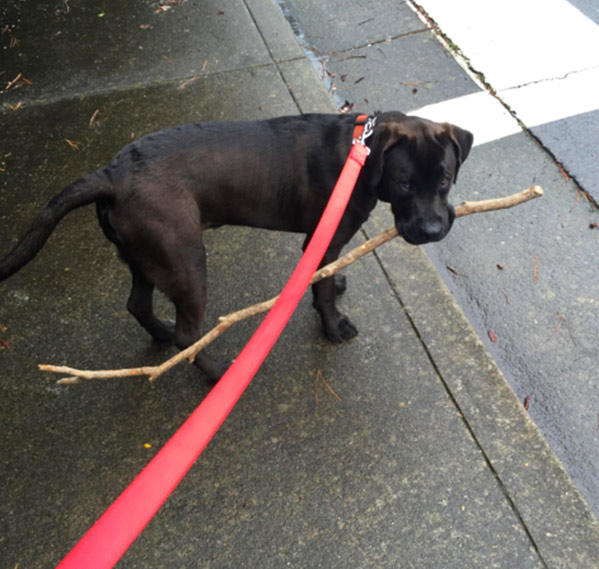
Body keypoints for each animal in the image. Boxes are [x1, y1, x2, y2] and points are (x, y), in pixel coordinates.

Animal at [0, 111, 474, 380]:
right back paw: (215, 373)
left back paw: (162, 334)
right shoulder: (323, 238)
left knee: (139, 304)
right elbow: (321, 289)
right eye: (405, 183)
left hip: (147, 255)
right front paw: (333, 325)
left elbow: (326, 277)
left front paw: (335, 286)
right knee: (188, 332)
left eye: (445, 179)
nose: (433, 229)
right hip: (187, 262)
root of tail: (111, 174)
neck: (361, 152)